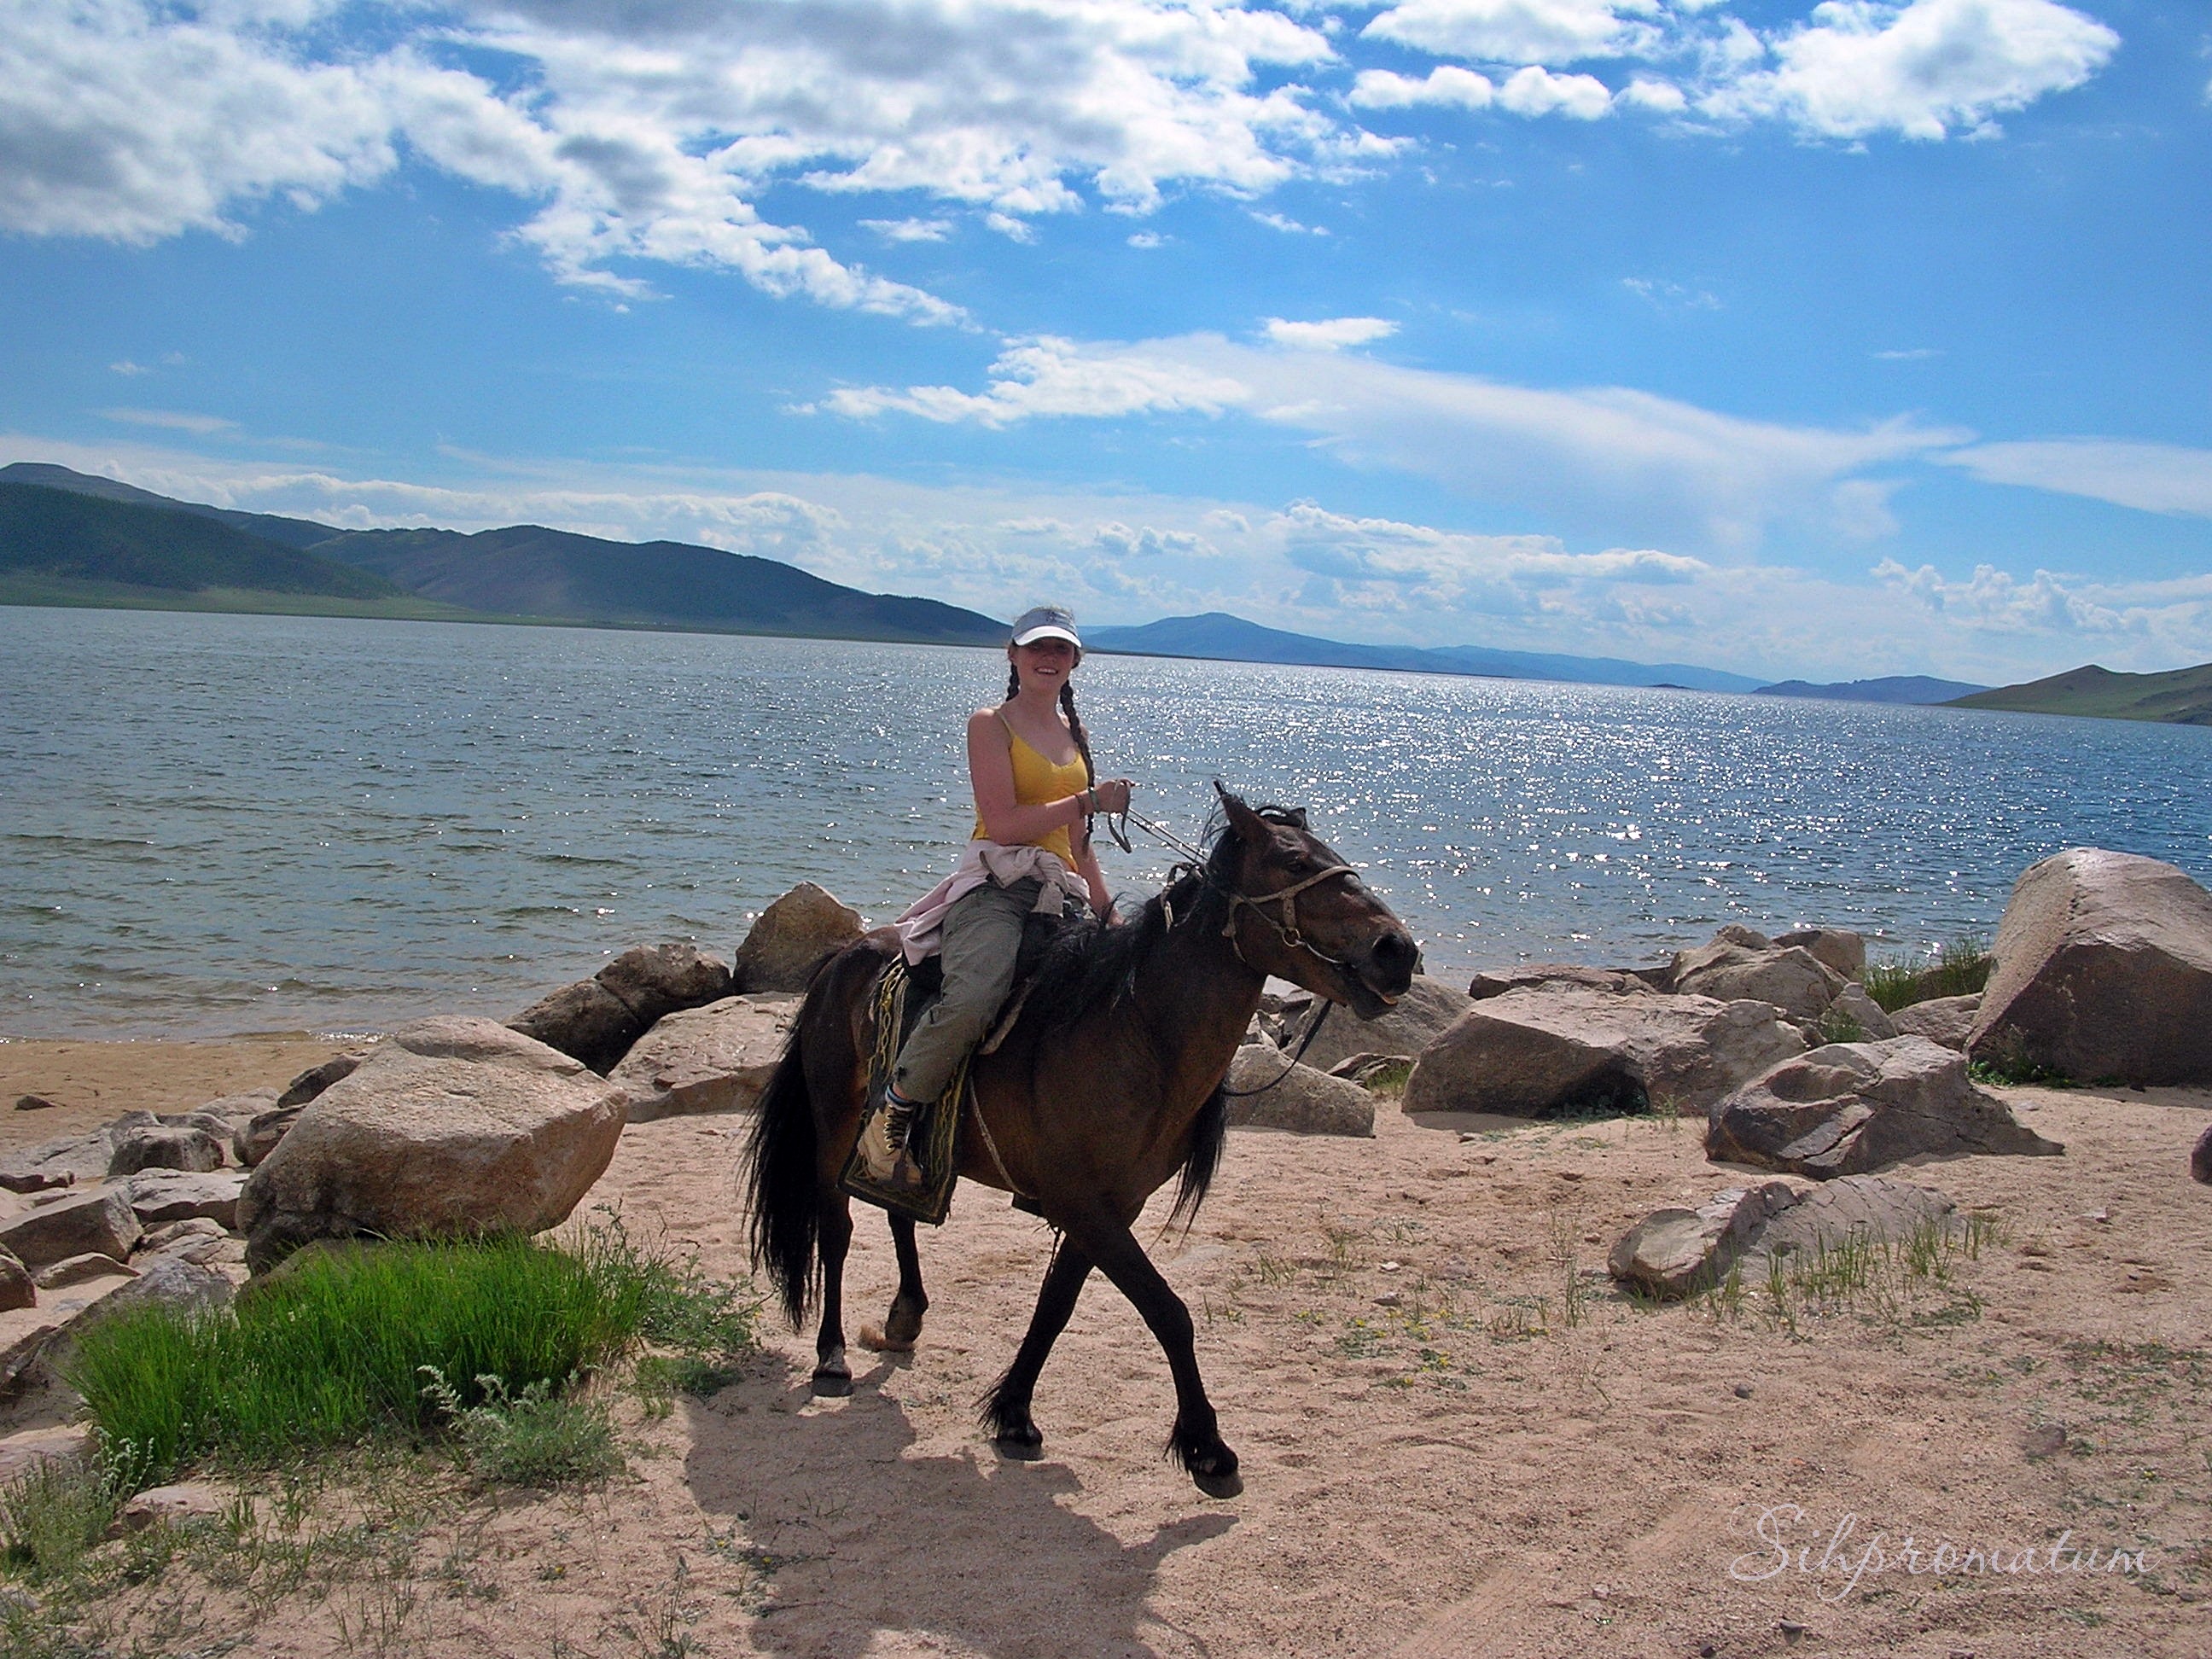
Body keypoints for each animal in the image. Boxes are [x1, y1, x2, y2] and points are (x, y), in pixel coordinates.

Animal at [748, 787, 1415, 1504]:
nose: (1398, 950)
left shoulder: (1110, 1206)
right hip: (834, 1120)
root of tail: (842, 959)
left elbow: (1057, 1305)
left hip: (914, 1146)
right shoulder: (1082, 1203)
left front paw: (1014, 1414)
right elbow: (1167, 1310)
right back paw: (832, 1354)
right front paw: (1207, 1448)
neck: (1134, 1034)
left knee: (899, 1208)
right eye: (1293, 861)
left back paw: (905, 1317)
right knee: (837, 1227)